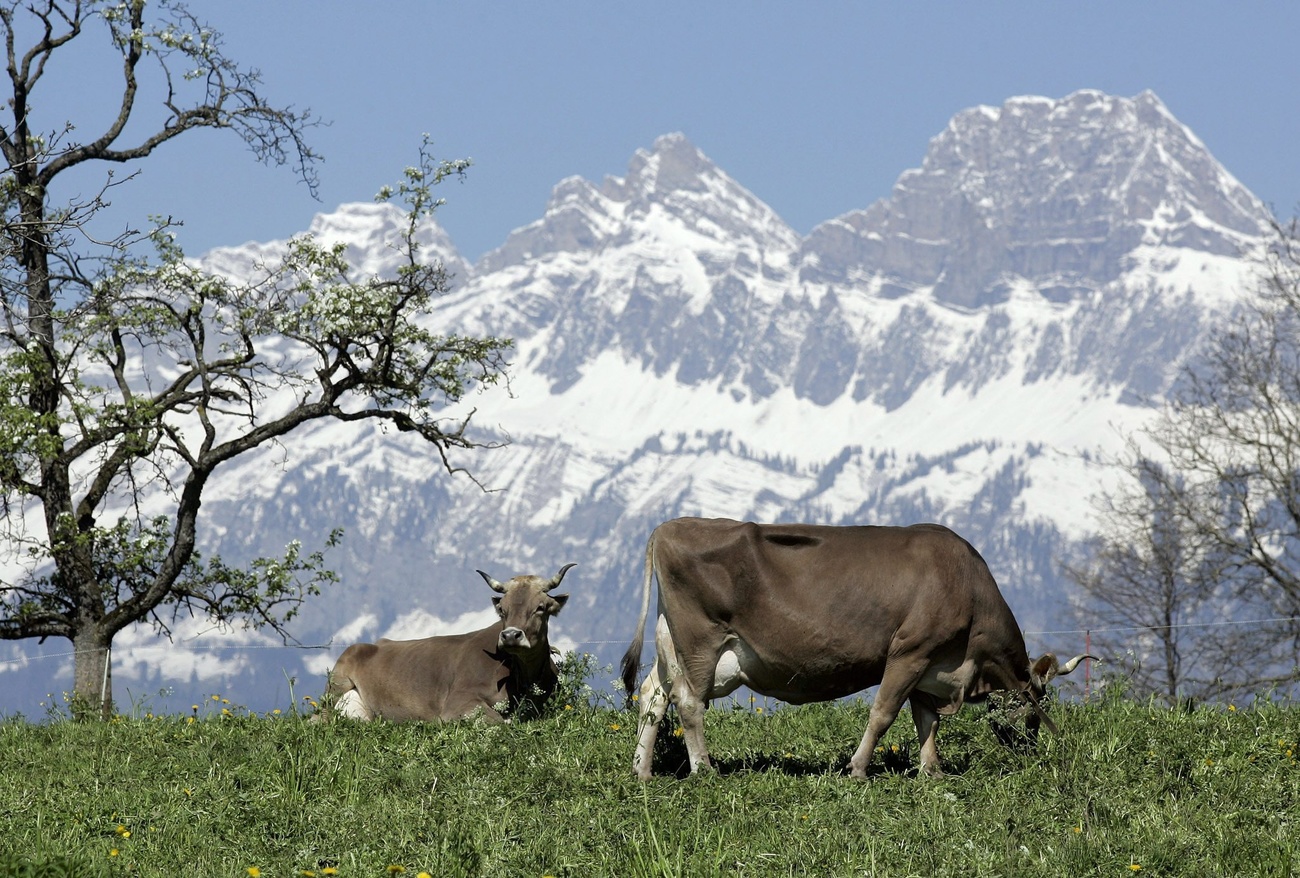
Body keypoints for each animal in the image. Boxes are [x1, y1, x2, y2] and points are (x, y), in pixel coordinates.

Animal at [325, 567, 574, 723]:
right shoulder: (457, 703)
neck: (524, 681)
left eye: (540, 607)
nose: (511, 635)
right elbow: (499, 721)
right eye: (503, 609)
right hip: (335, 688)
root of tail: (375, 643)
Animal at [624, 517, 1092, 780]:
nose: (1028, 749)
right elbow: (884, 713)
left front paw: (933, 772)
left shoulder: (931, 664)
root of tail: (669, 526)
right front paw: (859, 770)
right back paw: (704, 770)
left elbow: (926, 721)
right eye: (1034, 708)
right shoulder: (910, 651)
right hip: (700, 638)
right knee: (689, 701)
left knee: (654, 694)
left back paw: (642, 771)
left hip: (676, 642)